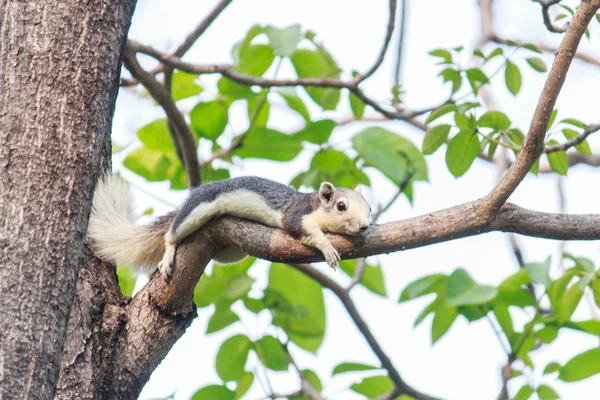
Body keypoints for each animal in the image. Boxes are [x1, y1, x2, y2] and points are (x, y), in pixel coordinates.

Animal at [88, 175, 370, 282]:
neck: (315, 205)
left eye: (369, 208)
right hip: (197, 209)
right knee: (172, 234)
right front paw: (328, 248)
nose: (366, 226)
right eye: (341, 206)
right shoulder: (296, 215)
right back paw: (168, 254)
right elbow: (306, 231)